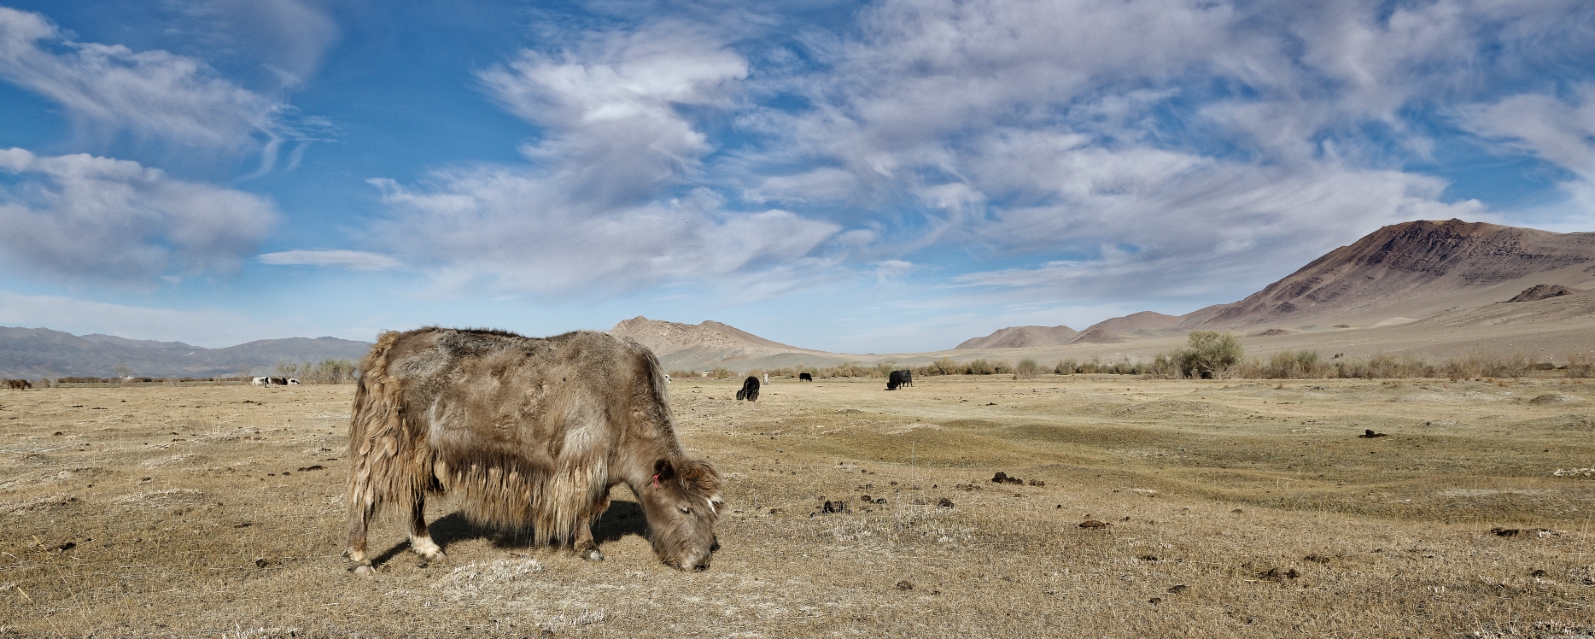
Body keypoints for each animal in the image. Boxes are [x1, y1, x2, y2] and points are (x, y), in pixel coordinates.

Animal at [344, 328, 722, 573]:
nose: (699, 560)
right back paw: (360, 558)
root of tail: (388, 345)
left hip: (420, 453)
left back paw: (428, 548)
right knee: (366, 492)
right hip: (388, 444)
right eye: (685, 508)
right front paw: (589, 549)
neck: (624, 399)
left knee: (413, 496)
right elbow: (584, 508)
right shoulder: (582, 460)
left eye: (712, 512)